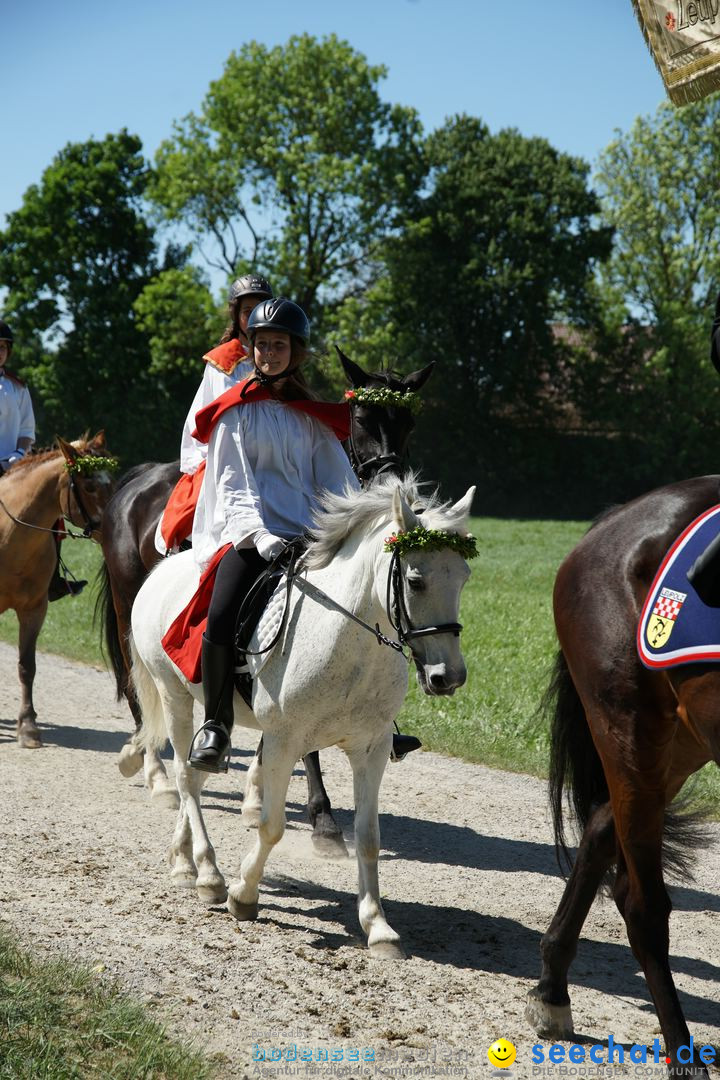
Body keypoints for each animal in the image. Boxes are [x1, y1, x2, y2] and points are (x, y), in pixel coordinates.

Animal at [0, 434, 115, 747]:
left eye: (111, 481)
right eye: (89, 486)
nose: (113, 527)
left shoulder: (35, 609)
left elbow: (27, 666)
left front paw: (28, 726)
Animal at [95, 352, 433, 833]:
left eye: (408, 423)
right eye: (361, 418)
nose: (393, 487)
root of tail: (135, 482)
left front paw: (258, 797)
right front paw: (320, 810)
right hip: (128, 605)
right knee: (134, 681)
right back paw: (153, 771)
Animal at [132, 477, 474, 959]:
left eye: (463, 577)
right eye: (415, 581)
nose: (449, 677)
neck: (350, 641)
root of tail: (162, 571)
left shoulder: (371, 751)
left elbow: (368, 837)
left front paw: (378, 926)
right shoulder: (283, 741)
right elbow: (271, 826)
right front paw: (243, 894)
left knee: (192, 782)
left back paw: (183, 862)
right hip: (174, 695)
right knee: (185, 776)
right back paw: (209, 874)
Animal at [524, 477, 720, 1080]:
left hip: (680, 741)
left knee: (600, 830)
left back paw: (553, 986)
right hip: (629, 727)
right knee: (642, 903)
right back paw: (682, 1053)